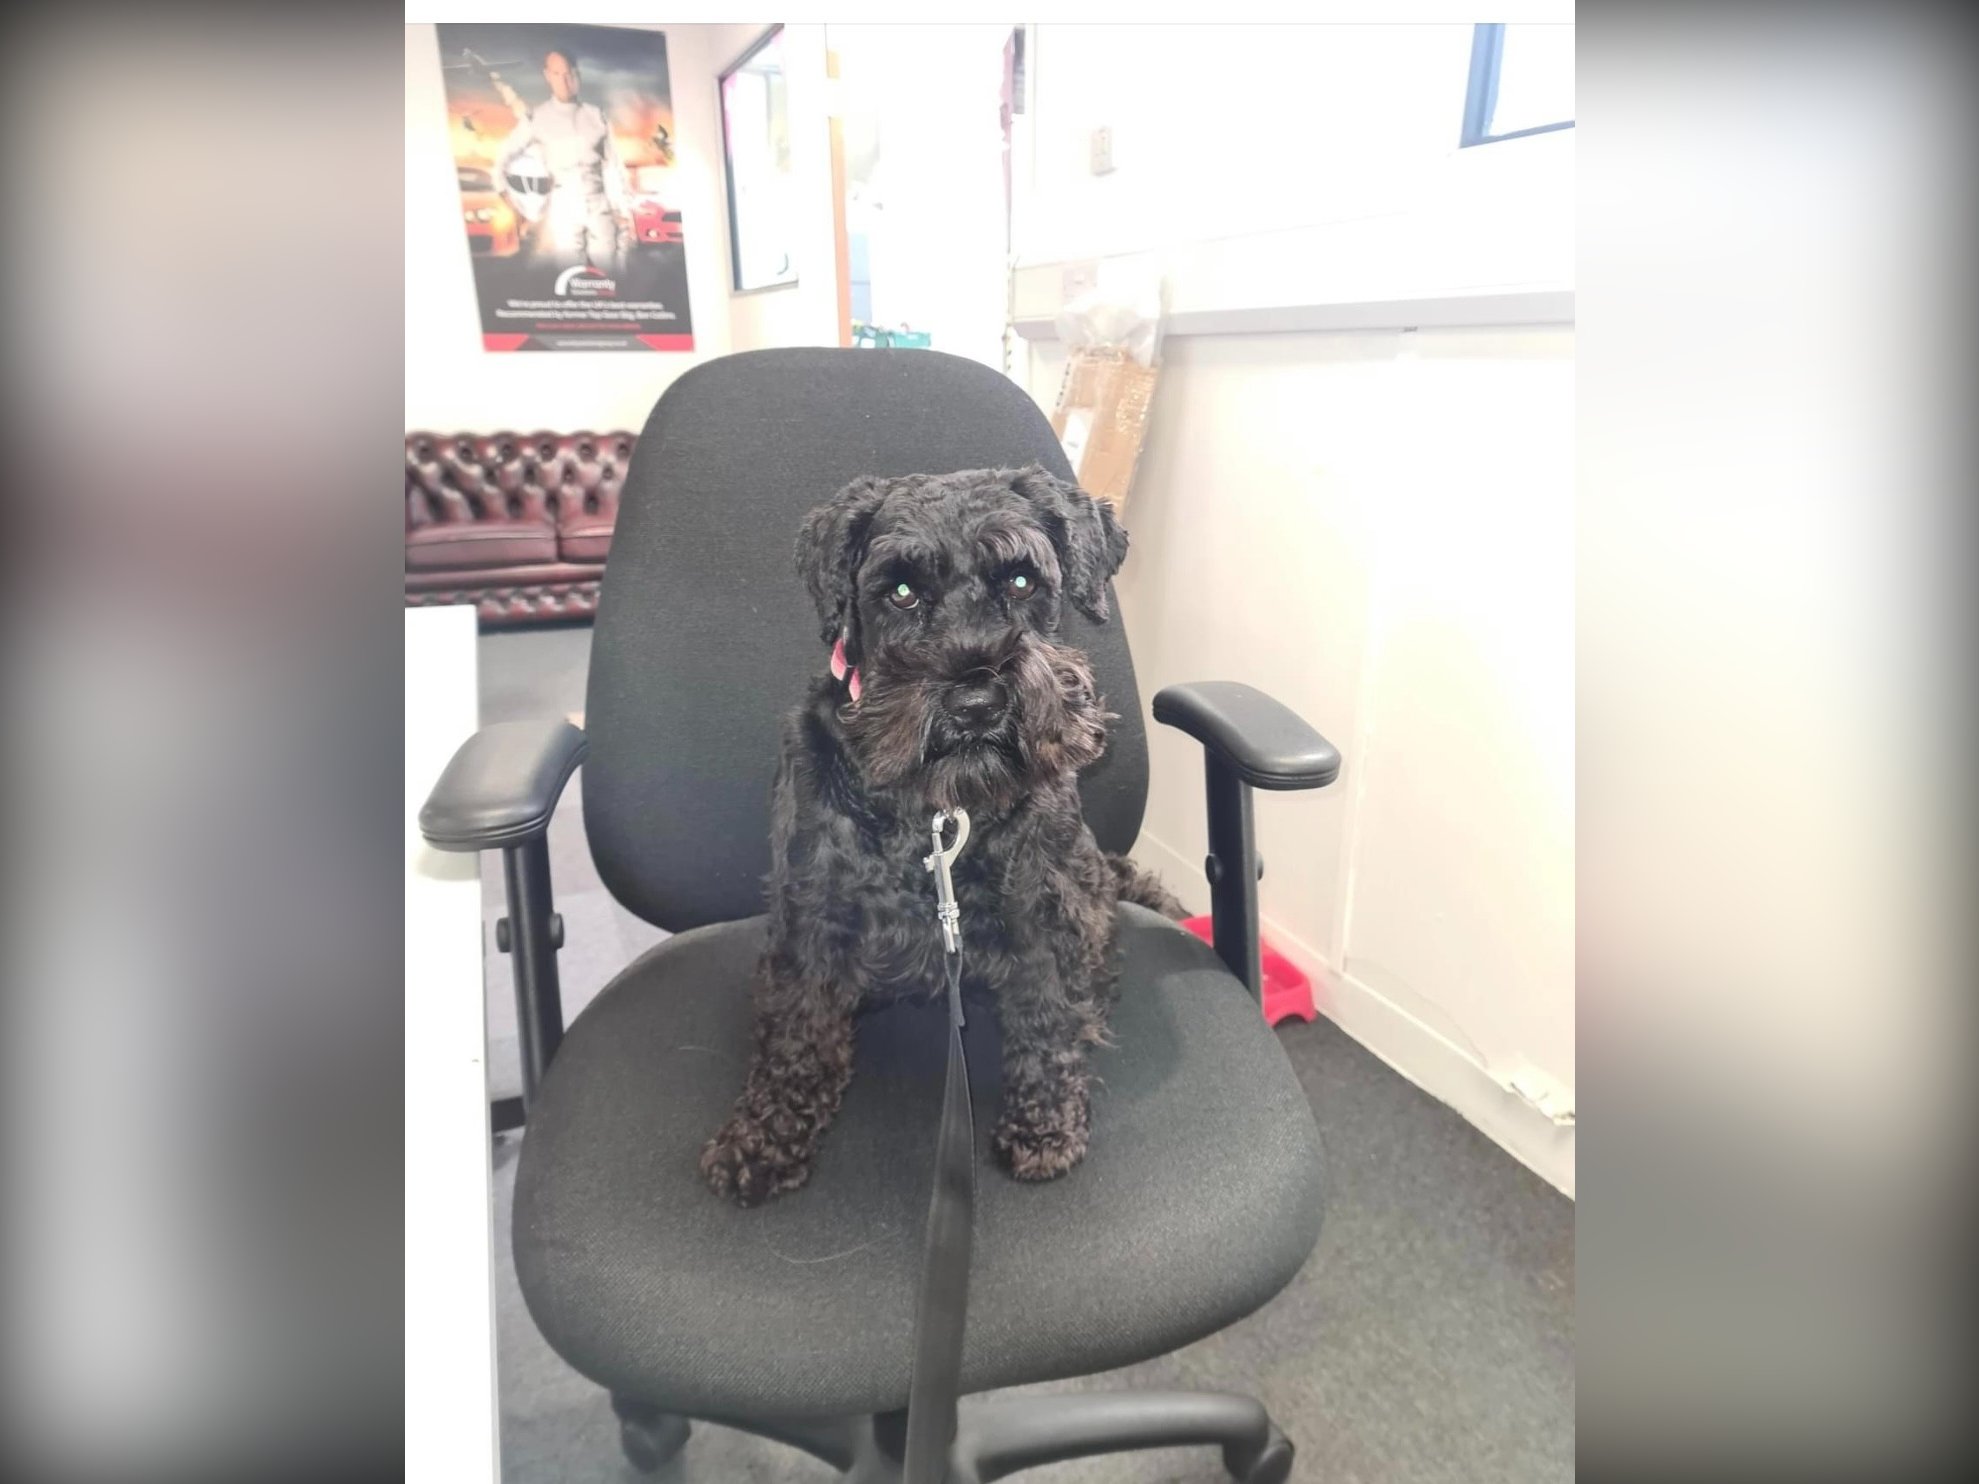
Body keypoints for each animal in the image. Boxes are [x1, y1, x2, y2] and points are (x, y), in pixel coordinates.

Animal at [700, 465, 1184, 1207]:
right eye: (899, 591)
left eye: (1021, 581)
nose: (976, 701)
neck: (938, 810)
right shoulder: (813, 912)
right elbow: (795, 1034)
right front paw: (762, 1139)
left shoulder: (1042, 907)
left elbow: (1047, 1013)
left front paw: (1045, 1125)